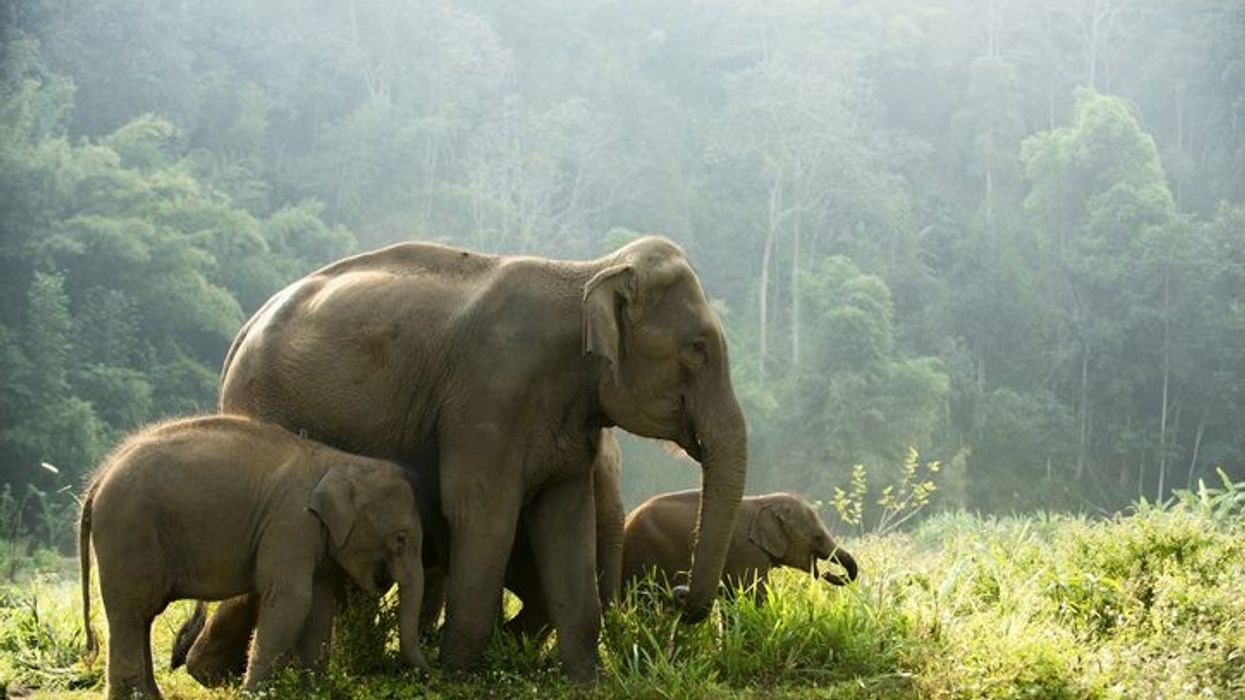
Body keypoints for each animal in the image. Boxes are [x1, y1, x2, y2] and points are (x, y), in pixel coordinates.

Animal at [79, 416, 427, 699]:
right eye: (400, 540)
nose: (426, 675)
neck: (339, 460)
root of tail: (97, 481)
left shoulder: (312, 535)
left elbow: (318, 604)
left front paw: (313, 690)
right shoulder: (290, 522)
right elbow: (291, 599)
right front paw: (256, 694)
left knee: (141, 616)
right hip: (128, 530)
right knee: (132, 611)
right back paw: (134, 696)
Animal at [179, 236, 748, 682]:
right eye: (697, 348)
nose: (679, 594)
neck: (588, 271)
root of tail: (243, 330)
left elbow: (566, 523)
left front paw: (586, 681)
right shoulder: (491, 395)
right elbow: (482, 513)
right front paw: (461, 676)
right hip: (264, 406)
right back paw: (212, 673)